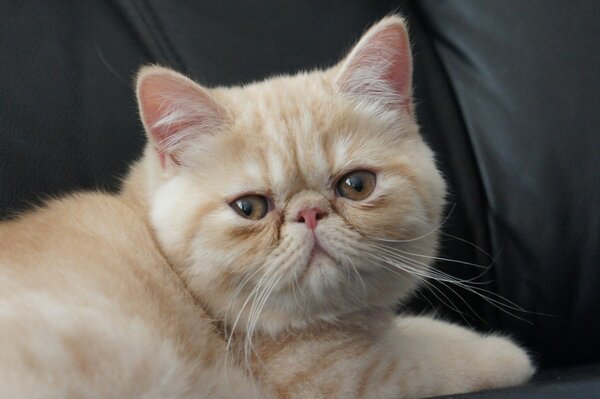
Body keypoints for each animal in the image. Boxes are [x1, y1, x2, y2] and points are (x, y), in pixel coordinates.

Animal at [0, 15, 536, 399]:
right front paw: (508, 356)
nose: (309, 213)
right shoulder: (349, 377)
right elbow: (433, 352)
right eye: (251, 208)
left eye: (356, 185)